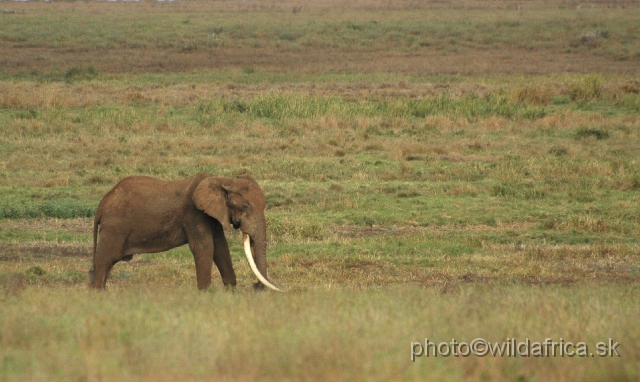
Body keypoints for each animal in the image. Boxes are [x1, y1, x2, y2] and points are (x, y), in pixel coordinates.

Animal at [89, 172, 282, 290]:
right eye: (245, 207)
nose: (255, 287)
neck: (222, 180)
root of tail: (102, 204)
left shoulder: (212, 215)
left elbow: (221, 248)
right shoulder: (194, 213)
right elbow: (205, 247)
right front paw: (205, 295)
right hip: (113, 228)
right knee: (103, 262)